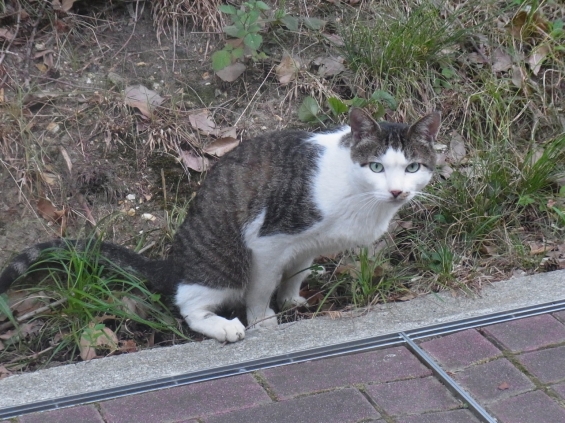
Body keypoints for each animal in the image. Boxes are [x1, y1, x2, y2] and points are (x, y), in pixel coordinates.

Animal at [0, 107, 440, 342]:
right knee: (187, 302)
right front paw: (263, 318)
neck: (359, 195)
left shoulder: (306, 246)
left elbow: (296, 273)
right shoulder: (268, 241)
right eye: (376, 166)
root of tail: (174, 261)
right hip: (222, 263)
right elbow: (261, 288)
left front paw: (292, 298)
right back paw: (224, 326)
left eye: (413, 167)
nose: (397, 192)